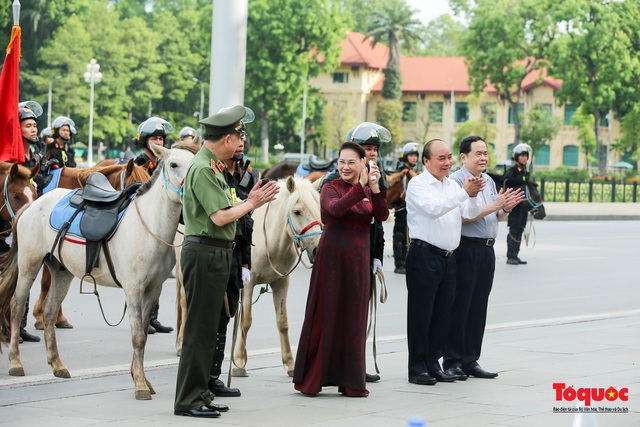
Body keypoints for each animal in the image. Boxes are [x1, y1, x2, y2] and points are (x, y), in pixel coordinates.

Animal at [175, 176, 322, 378]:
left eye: (319, 210)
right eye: (297, 211)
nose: (317, 249)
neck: (271, 242)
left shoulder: (282, 282)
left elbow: (282, 322)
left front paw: (290, 363)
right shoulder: (248, 283)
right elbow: (245, 321)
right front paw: (239, 363)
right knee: (185, 303)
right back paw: (182, 343)